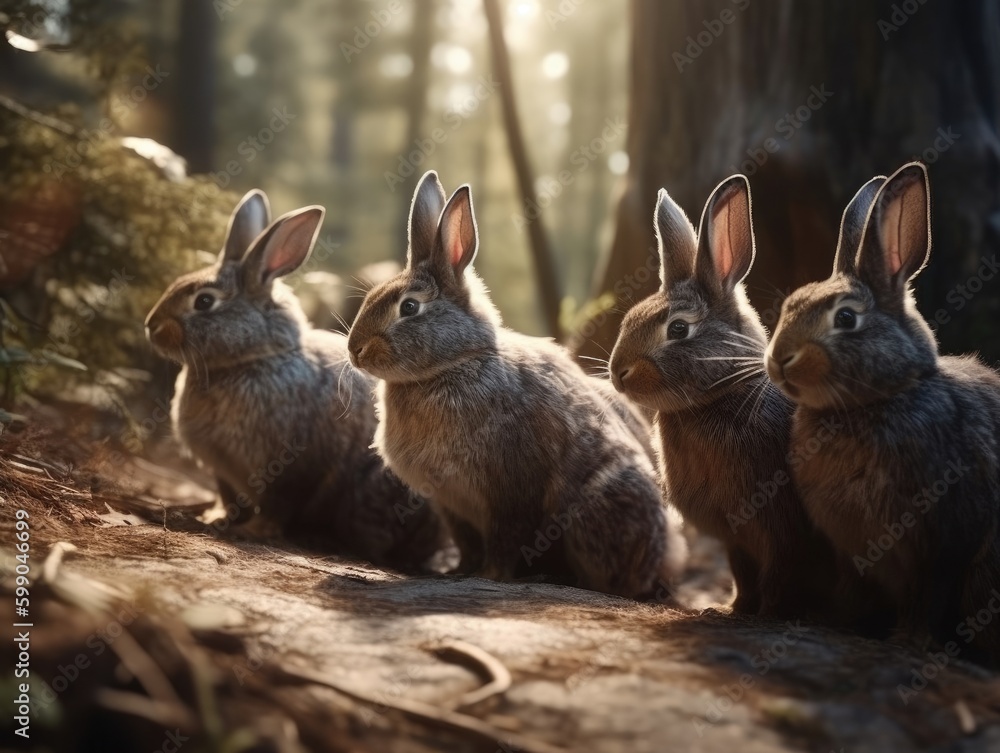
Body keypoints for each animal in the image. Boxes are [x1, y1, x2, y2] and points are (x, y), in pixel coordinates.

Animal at [145, 189, 445, 571]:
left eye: (204, 301)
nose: (150, 326)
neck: (253, 359)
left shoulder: (288, 466)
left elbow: (278, 502)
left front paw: (255, 531)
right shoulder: (223, 471)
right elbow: (229, 498)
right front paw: (216, 518)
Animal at [346, 170, 686, 600]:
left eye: (409, 307)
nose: (354, 350)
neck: (454, 363)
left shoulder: (510, 491)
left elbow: (507, 539)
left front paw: (491, 576)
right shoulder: (451, 504)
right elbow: (468, 543)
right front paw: (457, 572)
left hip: (597, 508)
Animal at [608, 175, 840, 618]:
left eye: (678, 329)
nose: (617, 373)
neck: (720, 394)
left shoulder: (779, 526)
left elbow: (781, 570)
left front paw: (766, 615)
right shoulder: (738, 538)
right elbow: (743, 571)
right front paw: (730, 610)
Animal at [765, 161, 1000, 663]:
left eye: (846, 318)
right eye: (792, 304)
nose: (779, 360)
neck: (879, 400)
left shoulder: (947, 536)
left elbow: (932, 593)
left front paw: (911, 642)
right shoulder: (851, 549)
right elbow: (854, 589)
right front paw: (835, 624)